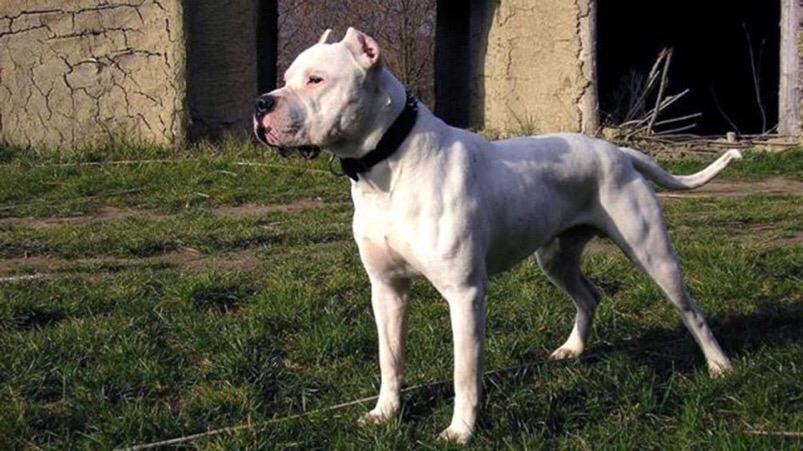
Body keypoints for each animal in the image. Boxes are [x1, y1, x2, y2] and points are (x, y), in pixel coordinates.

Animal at [254, 29, 740, 444]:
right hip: (556, 258)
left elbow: (464, 373)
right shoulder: (387, 289)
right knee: (589, 296)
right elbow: (389, 359)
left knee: (691, 311)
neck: (387, 165)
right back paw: (573, 349)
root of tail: (618, 152)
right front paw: (384, 413)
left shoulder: (465, 295)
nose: (261, 103)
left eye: (316, 80)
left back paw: (720, 367)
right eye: (286, 79)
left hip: (652, 252)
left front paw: (461, 431)